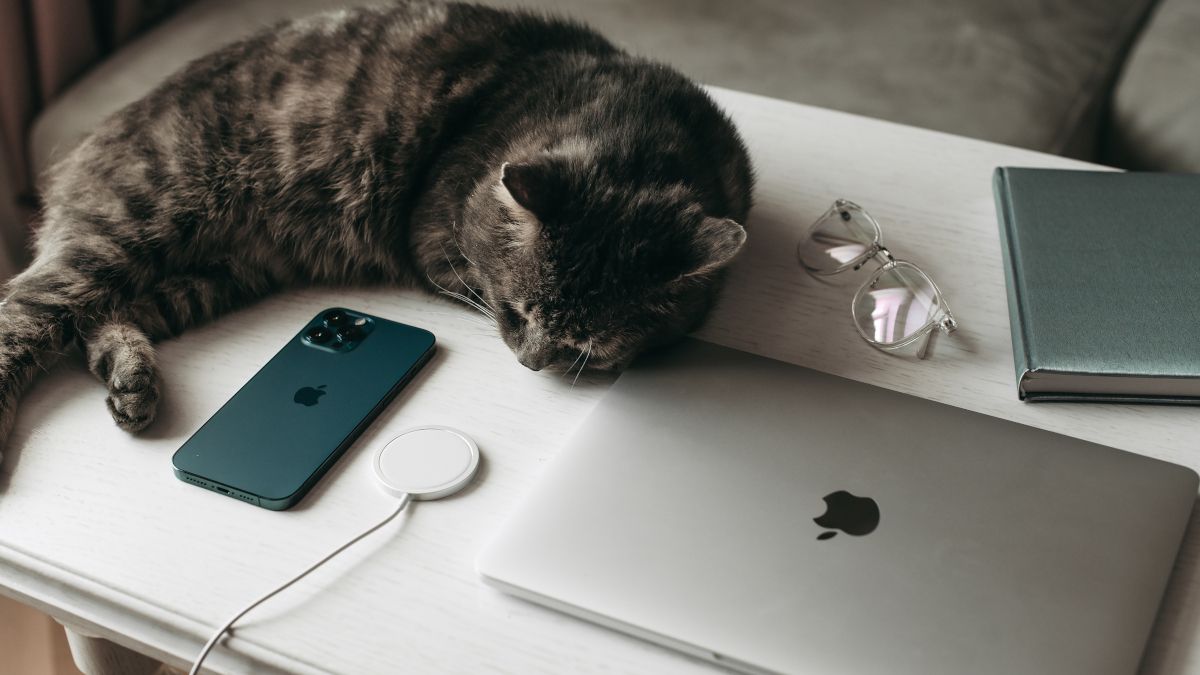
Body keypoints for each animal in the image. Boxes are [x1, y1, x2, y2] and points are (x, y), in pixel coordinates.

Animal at [0, 1, 753, 461]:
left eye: (589, 343)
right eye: (515, 313)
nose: (531, 363)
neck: (640, 136)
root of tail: (90, 139)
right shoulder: (438, 246)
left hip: (205, 278)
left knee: (96, 324)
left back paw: (132, 385)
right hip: (127, 229)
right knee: (27, 307)